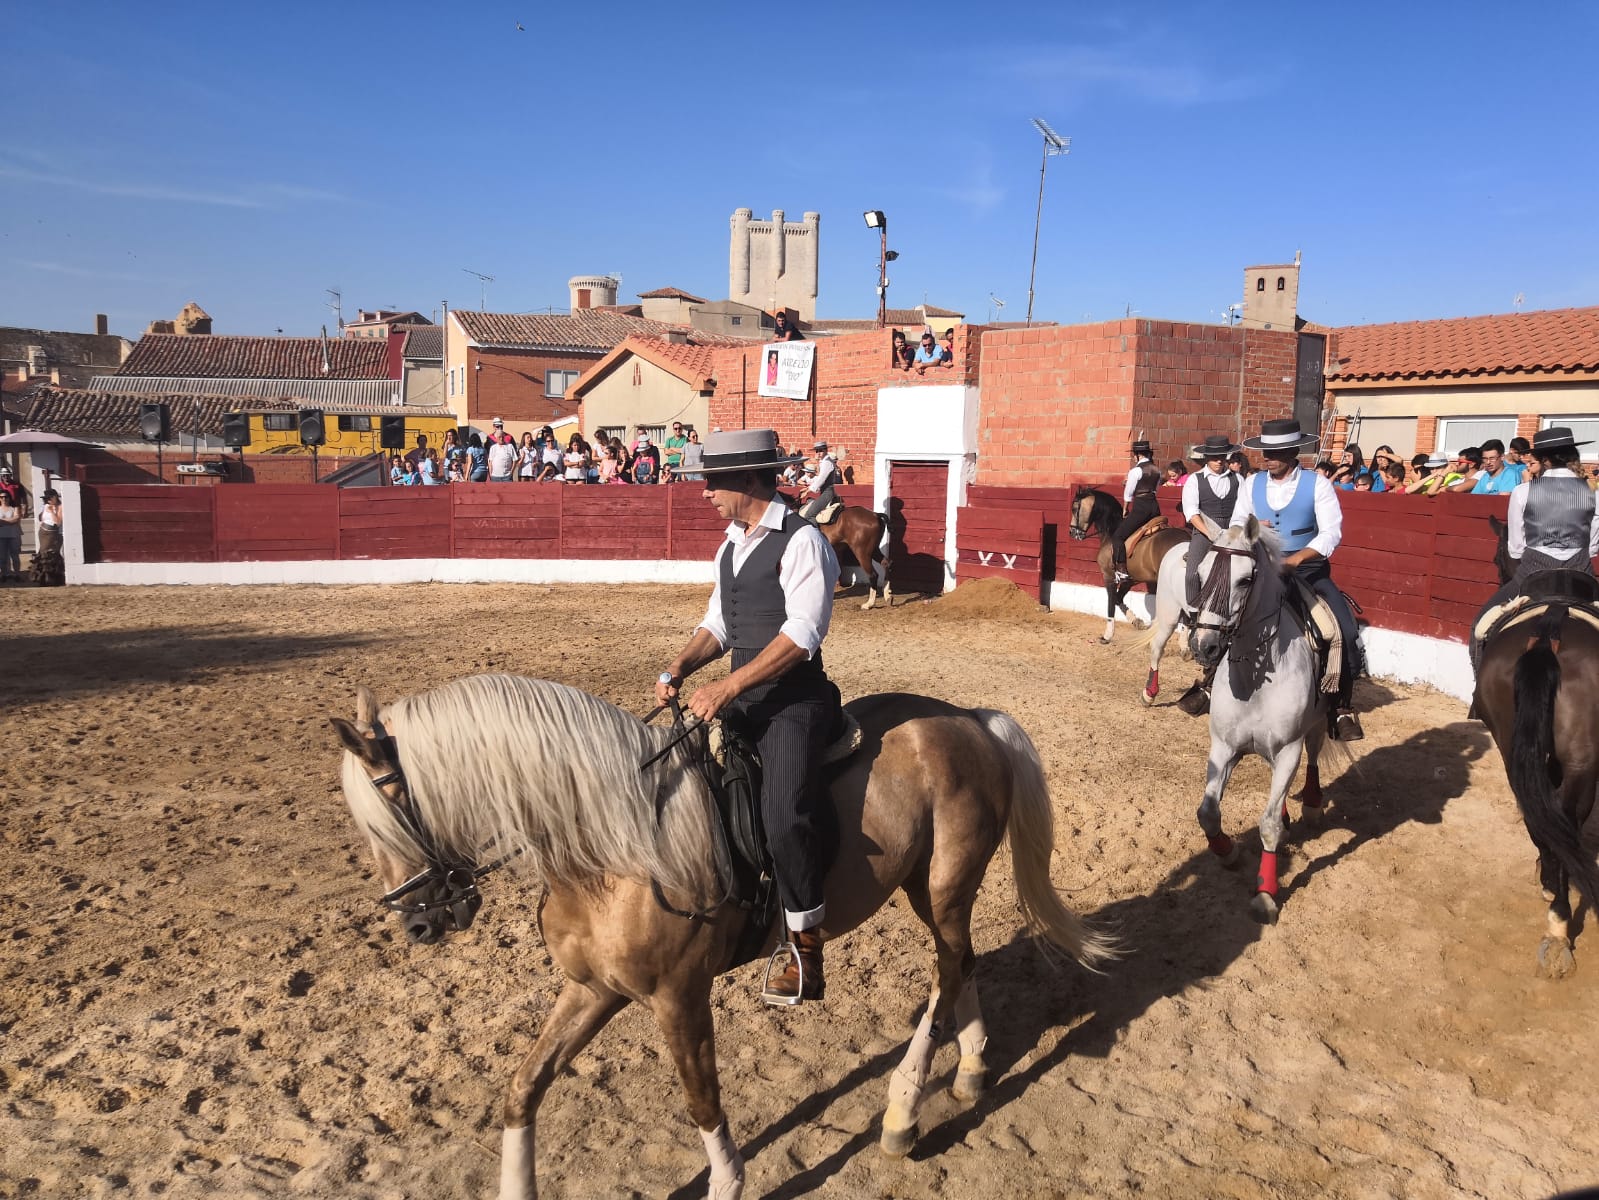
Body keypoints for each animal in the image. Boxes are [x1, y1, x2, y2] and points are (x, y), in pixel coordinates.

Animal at [334, 678, 1112, 1200]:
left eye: (392, 801)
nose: (417, 922)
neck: (612, 845)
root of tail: (970, 720)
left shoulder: (678, 996)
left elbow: (701, 1099)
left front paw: (728, 1180)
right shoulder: (593, 989)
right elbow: (524, 1086)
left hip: (944, 884)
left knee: (947, 973)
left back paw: (901, 1112)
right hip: (930, 892)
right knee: (963, 964)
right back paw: (972, 1068)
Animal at [1068, 483, 1196, 643]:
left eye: (1074, 508)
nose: (1072, 533)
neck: (1112, 530)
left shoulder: (1108, 576)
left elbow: (1111, 603)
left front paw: (1107, 635)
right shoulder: (1131, 580)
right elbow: (1118, 599)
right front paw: (1137, 621)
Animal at [1189, 521, 1323, 928]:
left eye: (1245, 580)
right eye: (1201, 574)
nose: (1203, 646)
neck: (1254, 677)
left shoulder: (1290, 749)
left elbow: (1268, 825)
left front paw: (1265, 893)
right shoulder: (1223, 748)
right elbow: (1208, 812)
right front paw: (1227, 852)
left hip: (1318, 722)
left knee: (1315, 753)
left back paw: (1312, 806)